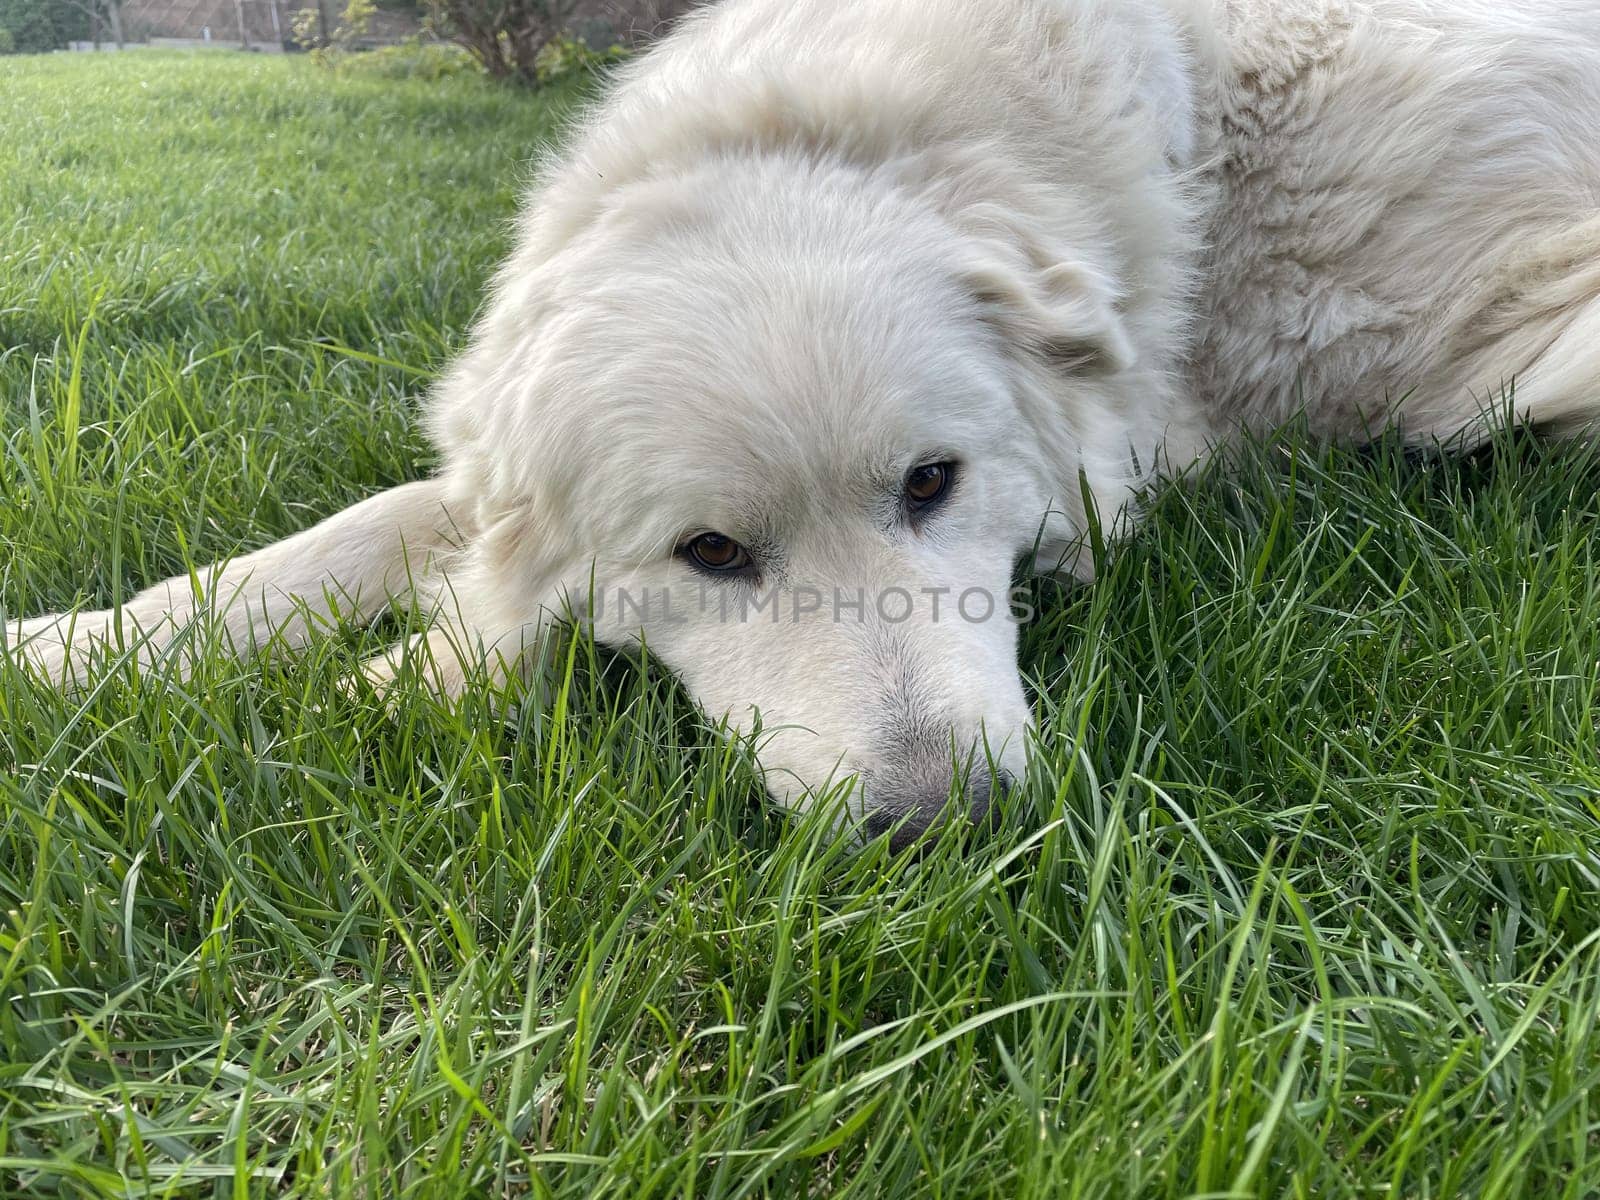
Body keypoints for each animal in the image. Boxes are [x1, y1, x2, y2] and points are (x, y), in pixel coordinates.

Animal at [12, 0, 1600, 844]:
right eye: (711, 555)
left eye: (933, 482)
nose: (941, 827)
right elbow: (340, 540)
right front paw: (83, 651)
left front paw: (401, 682)